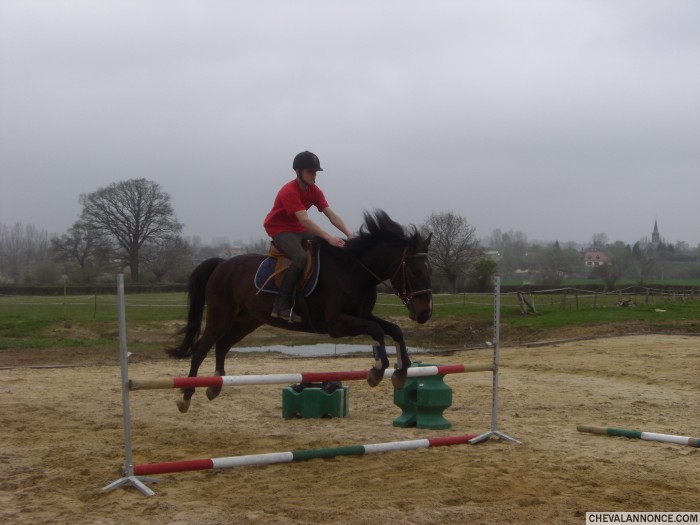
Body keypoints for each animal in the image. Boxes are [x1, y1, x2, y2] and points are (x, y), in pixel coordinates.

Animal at [169, 210, 432, 414]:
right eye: (415, 271)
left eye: (429, 269)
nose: (424, 314)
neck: (354, 270)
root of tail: (222, 264)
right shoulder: (336, 324)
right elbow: (377, 330)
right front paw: (378, 370)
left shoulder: (362, 315)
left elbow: (394, 330)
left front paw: (401, 371)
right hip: (220, 316)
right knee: (201, 349)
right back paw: (186, 396)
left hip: (247, 321)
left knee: (222, 345)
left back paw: (215, 385)